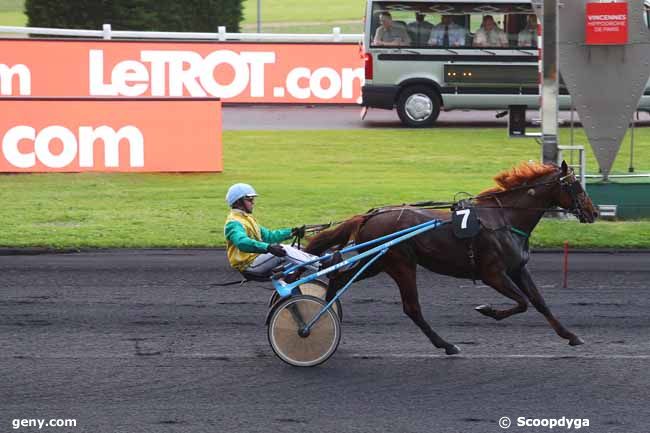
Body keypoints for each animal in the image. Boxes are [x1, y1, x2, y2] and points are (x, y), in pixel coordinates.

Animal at [304, 162, 596, 354]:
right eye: (576, 187)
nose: (593, 213)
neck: (505, 219)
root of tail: (370, 215)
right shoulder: (492, 274)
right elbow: (522, 303)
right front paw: (487, 310)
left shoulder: (518, 269)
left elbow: (539, 302)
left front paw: (571, 336)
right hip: (400, 264)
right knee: (411, 308)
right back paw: (445, 344)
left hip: (377, 262)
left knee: (339, 278)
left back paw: (323, 318)